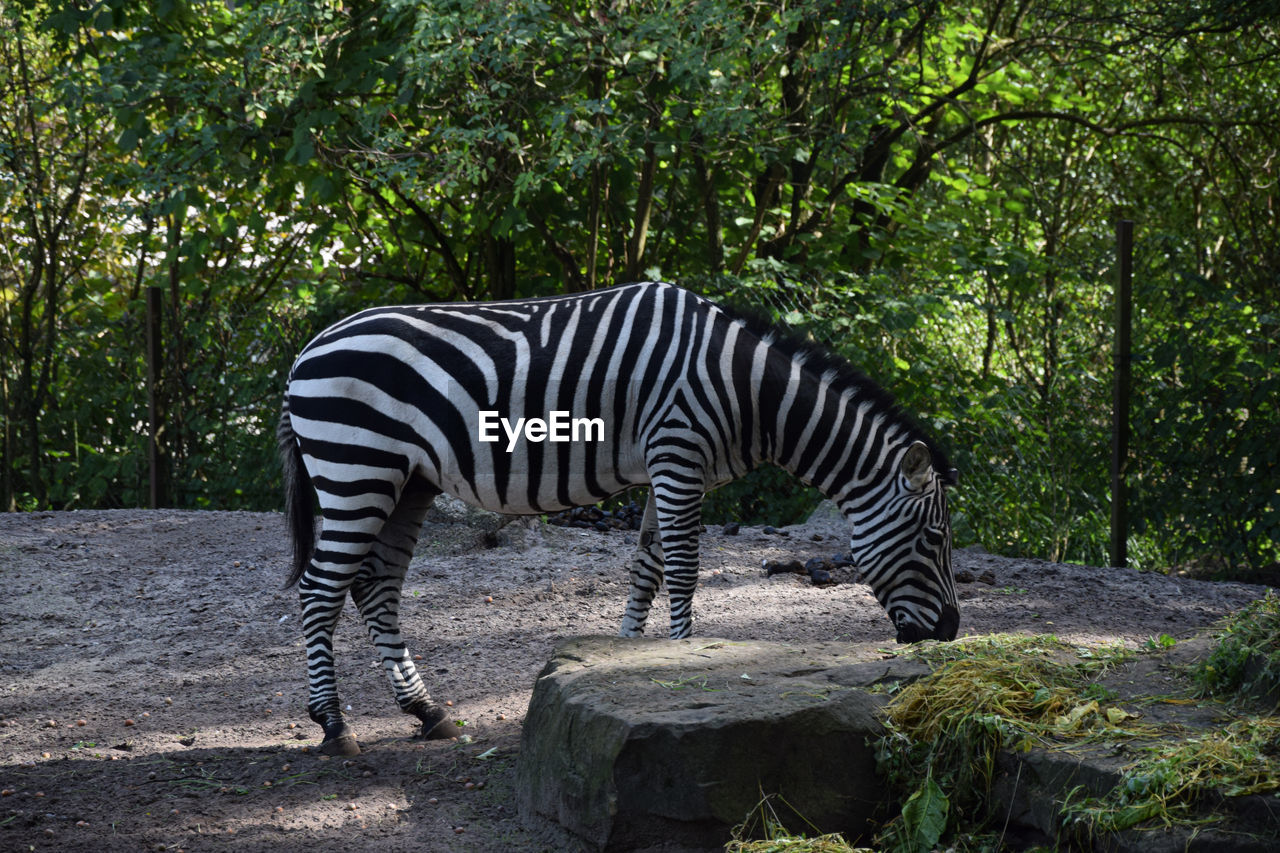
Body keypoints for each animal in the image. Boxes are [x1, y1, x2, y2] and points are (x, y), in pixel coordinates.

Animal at [280, 279, 962, 753]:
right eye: (934, 538)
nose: (952, 632)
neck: (746, 391)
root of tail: (307, 350)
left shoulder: (670, 467)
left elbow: (646, 570)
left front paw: (625, 660)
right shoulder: (679, 453)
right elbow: (683, 570)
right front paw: (686, 657)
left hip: (407, 482)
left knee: (376, 589)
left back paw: (427, 713)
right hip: (356, 469)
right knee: (320, 590)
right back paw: (334, 726)